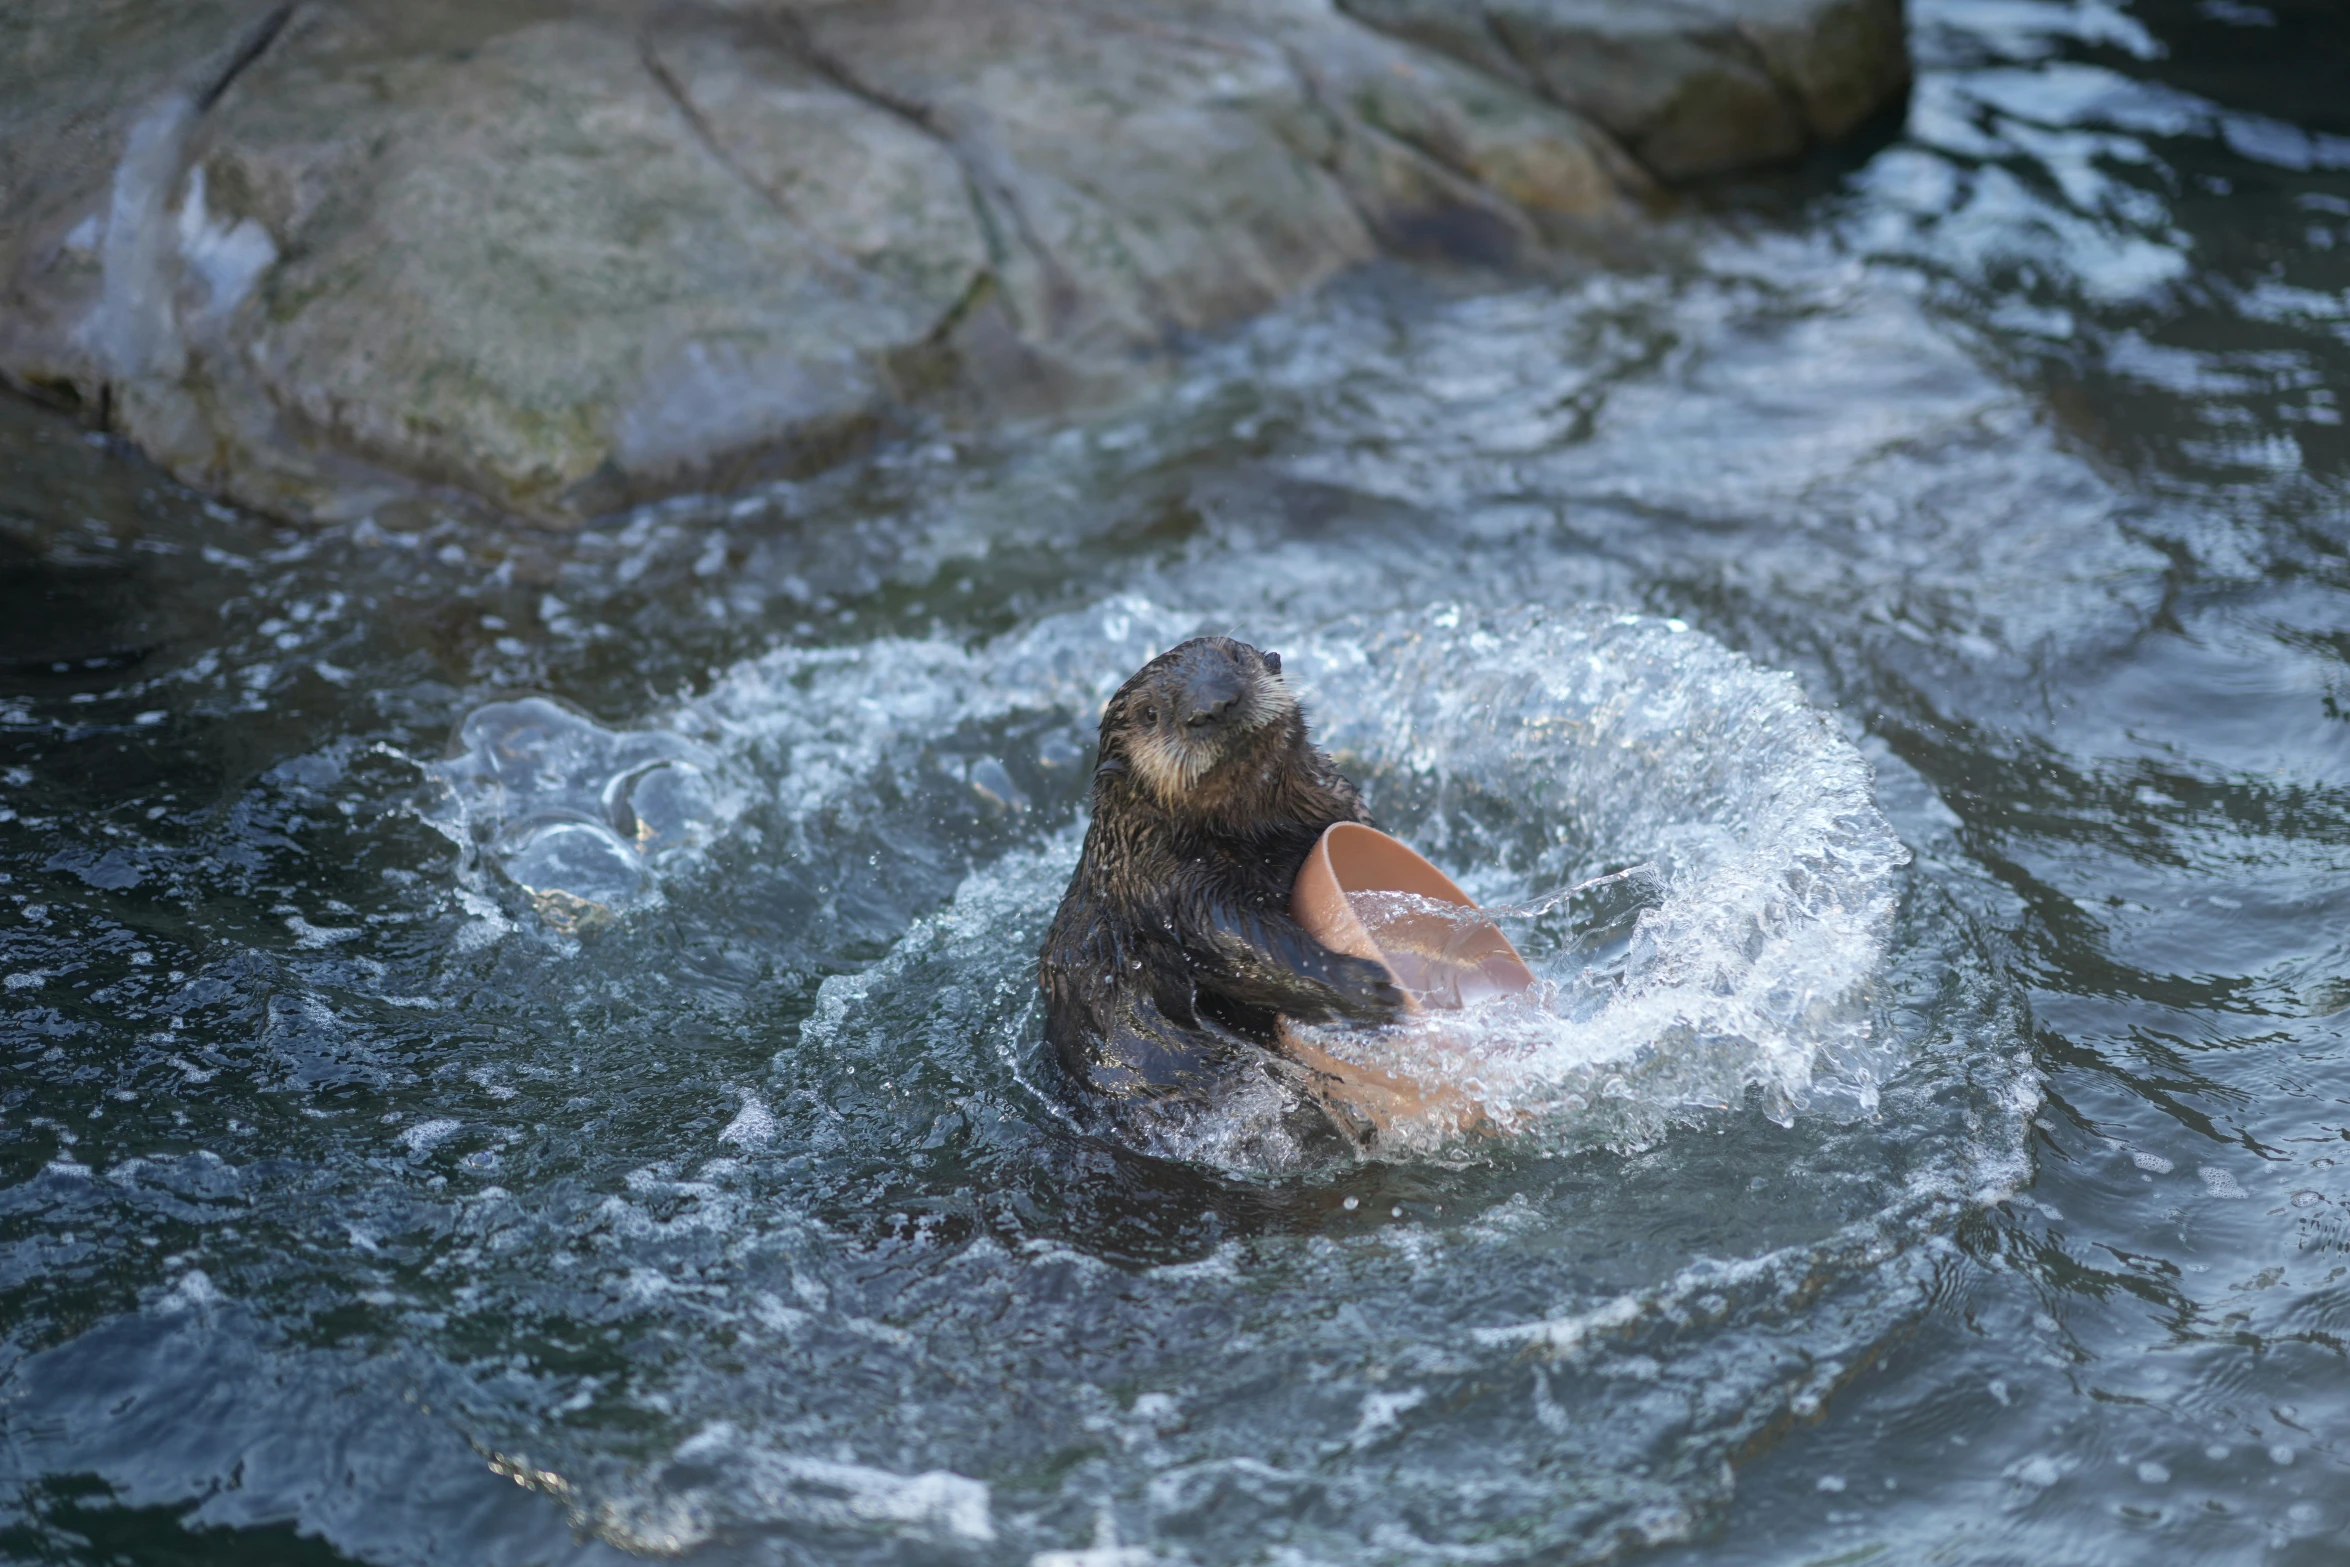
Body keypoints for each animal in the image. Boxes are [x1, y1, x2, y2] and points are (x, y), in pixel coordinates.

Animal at [1043, 634, 1391, 1113]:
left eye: (1234, 658)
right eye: (1148, 713)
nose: (1214, 703)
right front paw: (1366, 983)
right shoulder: (1172, 887)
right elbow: (1241, 943)